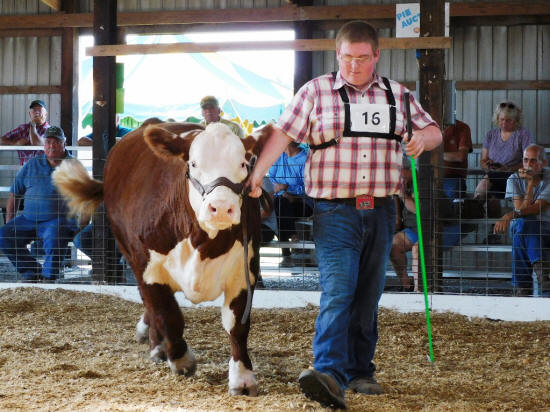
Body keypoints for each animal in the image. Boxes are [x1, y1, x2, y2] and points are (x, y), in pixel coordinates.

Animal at [53, 121, 272, 396]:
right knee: (150, 303)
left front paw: (242, 378)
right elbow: (167, 314)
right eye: (193, 163)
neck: (203, 242)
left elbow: (237, 325)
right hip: (128, 251)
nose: (221, 207)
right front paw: (180, 358)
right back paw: (158, 345)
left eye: (243, 163)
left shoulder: (245, 270)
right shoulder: (147, 267)